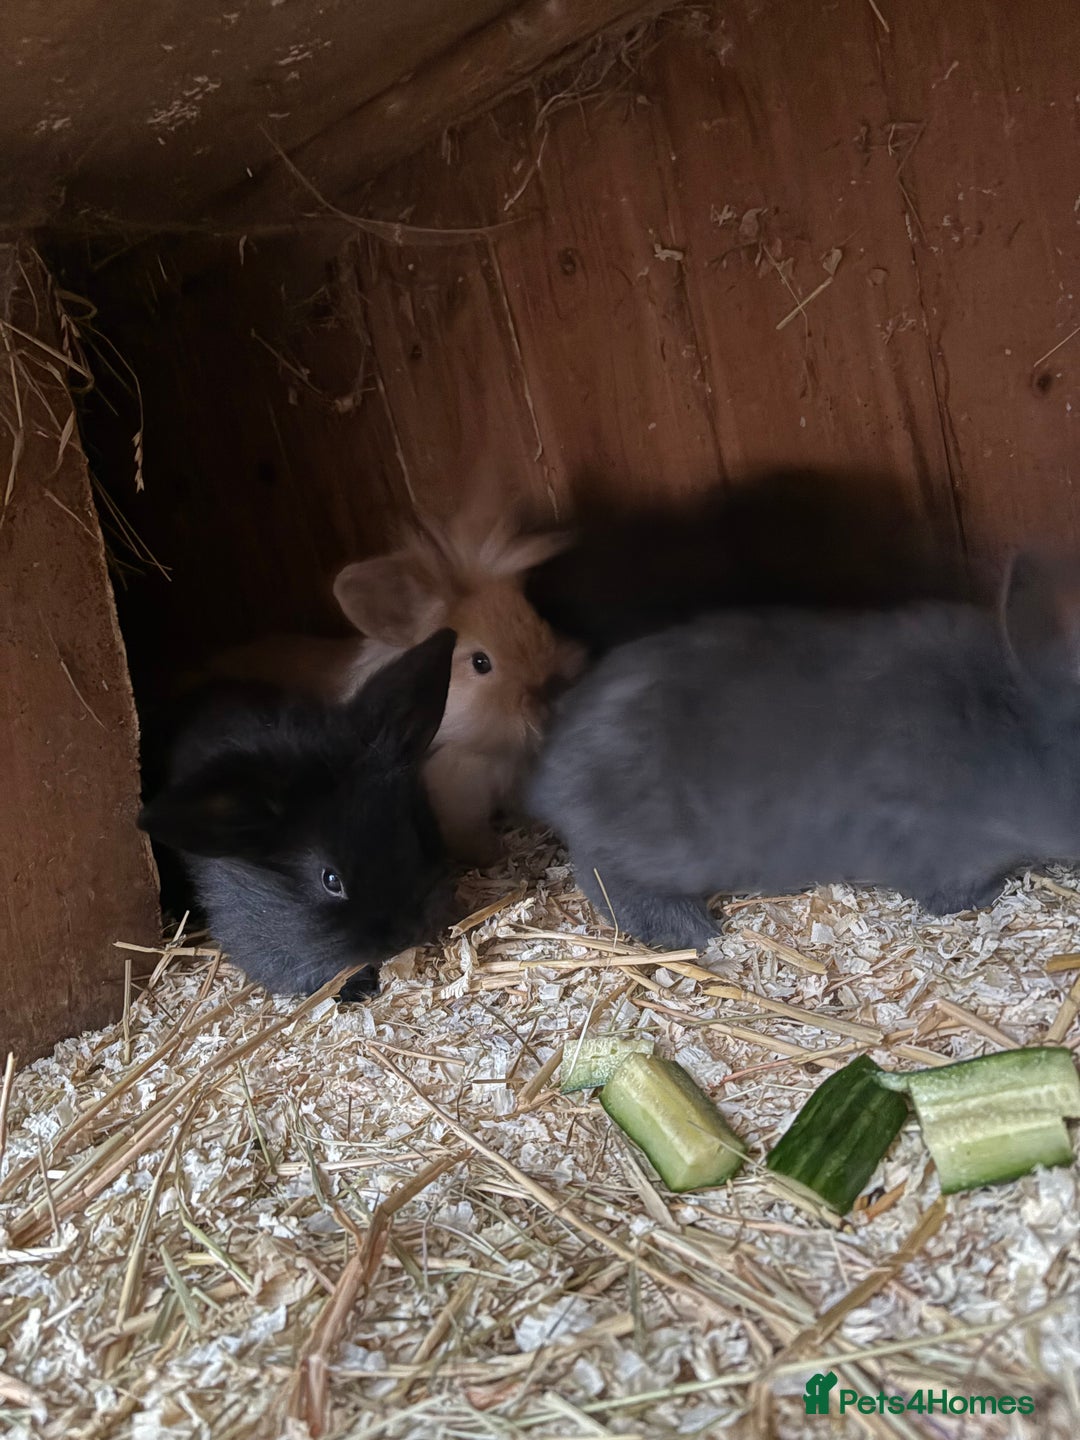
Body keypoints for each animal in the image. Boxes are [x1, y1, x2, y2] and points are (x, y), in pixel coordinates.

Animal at [211, 512, 585, 866]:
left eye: (538, 620)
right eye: (481, 662)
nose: (552, 691)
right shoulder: (458, 806)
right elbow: (471, 838)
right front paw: (492, 854)